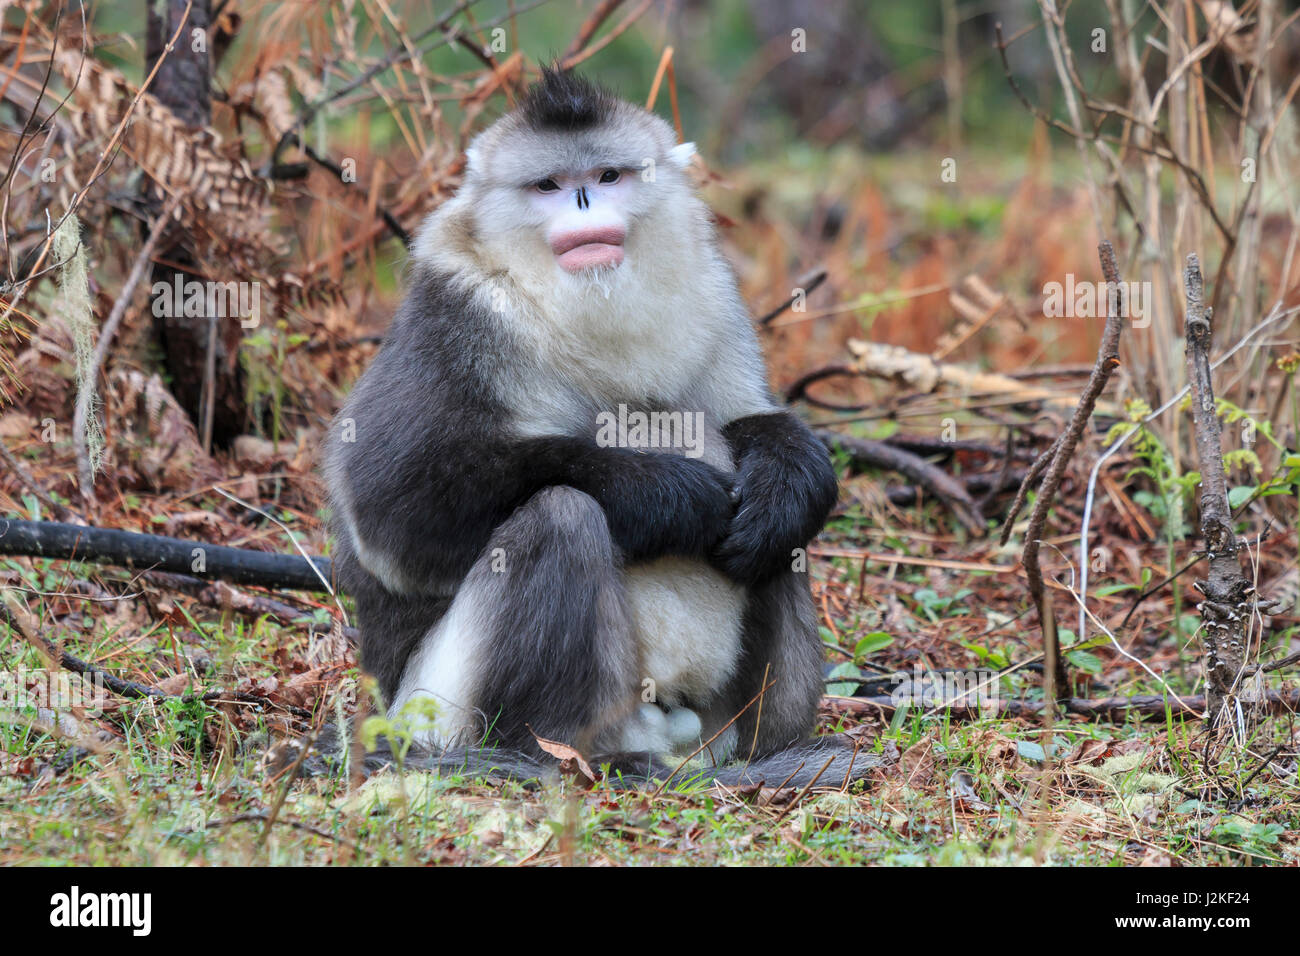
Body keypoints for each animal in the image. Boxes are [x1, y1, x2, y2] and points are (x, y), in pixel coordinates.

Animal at [321, 65, 857, 785]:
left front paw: (787, 483)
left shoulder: (713, 295)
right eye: (548, 185)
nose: (580, 201)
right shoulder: (456, 312)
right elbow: (388, 507)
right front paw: (666, 497)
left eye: (607, 176)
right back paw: (552, 757)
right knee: (562, 515)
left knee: (780, 544)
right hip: (431, 715)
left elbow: (752, 423)